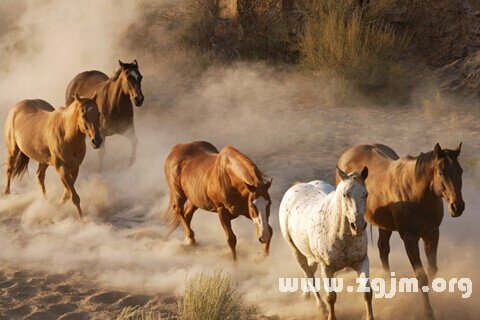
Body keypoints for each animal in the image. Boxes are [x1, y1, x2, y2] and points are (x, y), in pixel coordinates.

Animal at [280, 166, 374, 318]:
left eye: (365, 194)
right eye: (345, 195)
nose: (358, 226)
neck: (342, 237)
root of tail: (297, 186)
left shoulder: (361, 261)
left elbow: (367, 292)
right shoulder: (327, 268)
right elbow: (331, 296)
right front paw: (331, 316)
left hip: (311, 255)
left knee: (311, 270)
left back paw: (306, 295)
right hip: (296, 251)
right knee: (309, 274)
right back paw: (321, 307)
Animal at [336, 143, 464, 320]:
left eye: (460, 171)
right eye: (441, 172)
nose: (457, 207)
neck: (416, 193)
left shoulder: (432, 235)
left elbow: (432, 270)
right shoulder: (409, 238)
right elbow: (421, 276)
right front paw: (428, 311)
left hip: (385, 226)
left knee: (383, 249)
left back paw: (389, 282)